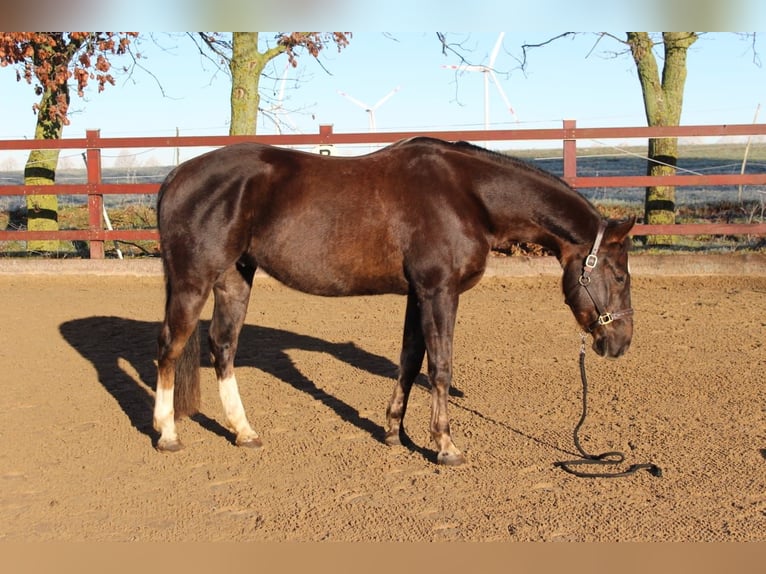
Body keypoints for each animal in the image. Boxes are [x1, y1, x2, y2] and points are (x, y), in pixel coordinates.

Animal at [152, 138, 636, 468]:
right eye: (620, 275)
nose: (621, 342)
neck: (467, 195)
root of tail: (177, 176)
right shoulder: (439, 292)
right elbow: (439, 367)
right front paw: (445, 445)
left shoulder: (417, 295)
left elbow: (409, 360)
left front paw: (392, 432)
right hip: (193, 281)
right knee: (170, 349)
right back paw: (167, 434)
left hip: (235, 278)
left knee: (223, 346)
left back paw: (244, 432)